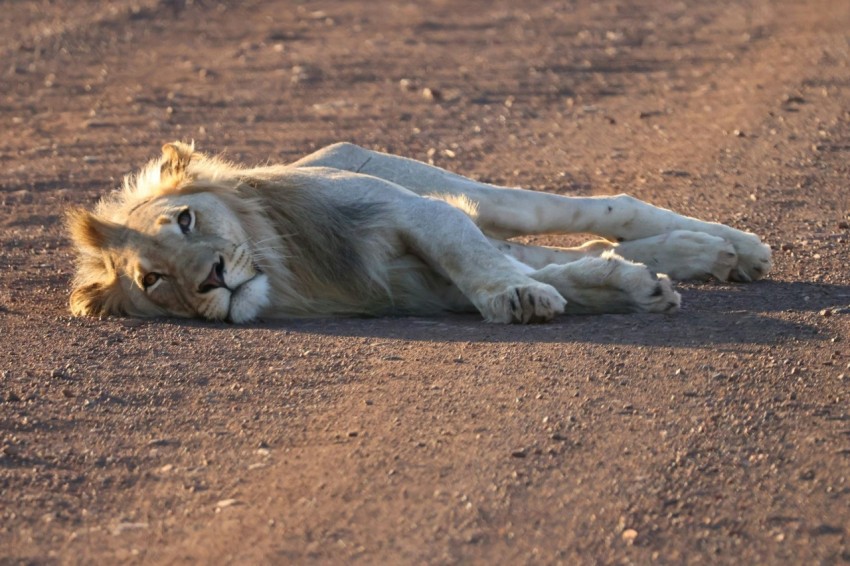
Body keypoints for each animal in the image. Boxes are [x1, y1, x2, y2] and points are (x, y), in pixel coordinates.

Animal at [66, 143, 768, 324]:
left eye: (186, 220)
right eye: (154, 280)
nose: (212, 278)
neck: (289, 268)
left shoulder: (413, 212)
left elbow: (476, 258)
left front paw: (519, 300)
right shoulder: (421, 290)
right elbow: (561, 274)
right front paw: (638, 288)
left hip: (439, 183)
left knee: (594, 212)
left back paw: (741, 246)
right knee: (562, 247)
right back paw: (708, 254)